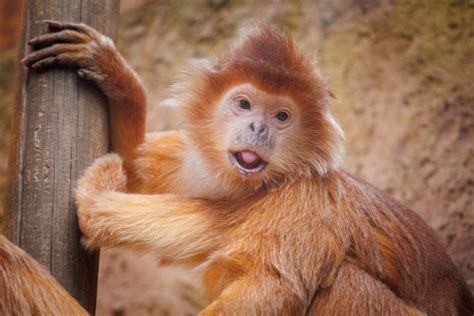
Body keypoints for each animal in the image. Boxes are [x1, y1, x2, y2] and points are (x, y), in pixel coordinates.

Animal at [18, 21, 474, 314]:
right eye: (244, 104)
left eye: (282, 116)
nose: (258, 127)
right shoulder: (190, 160)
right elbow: (136, 169)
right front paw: (115, 74)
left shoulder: (305, 199)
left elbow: (272, 289)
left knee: (341, 278)